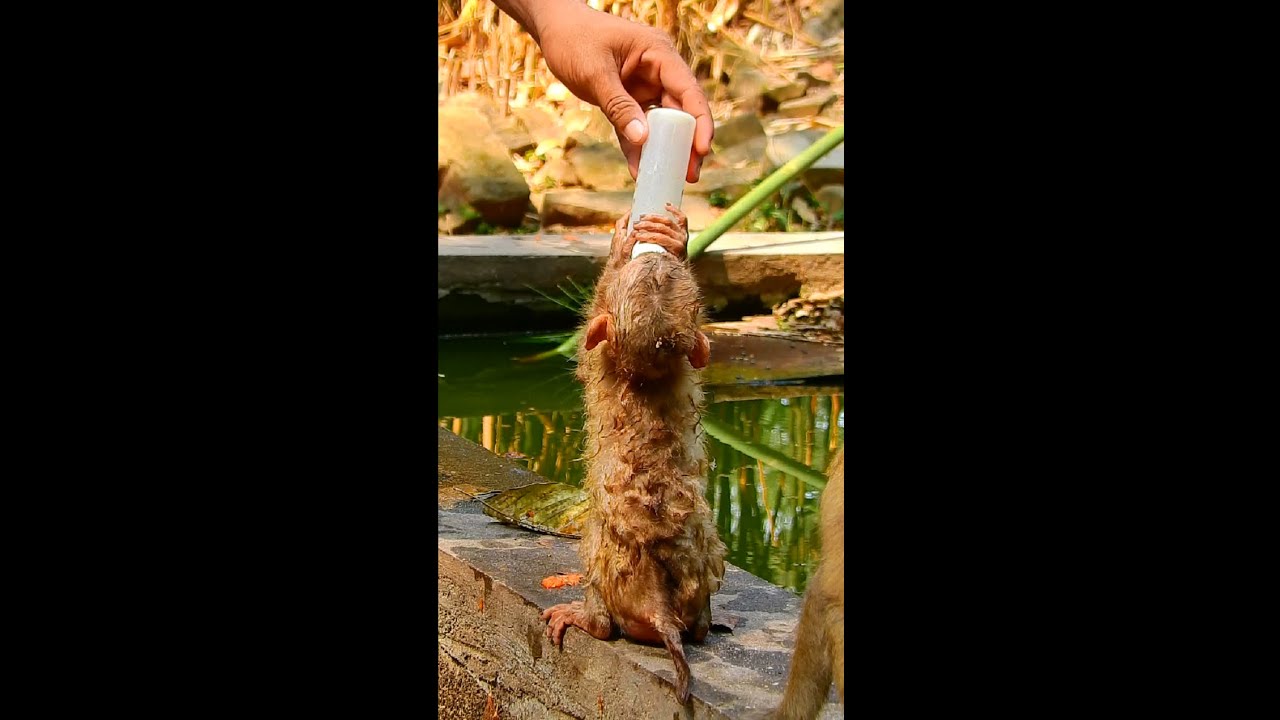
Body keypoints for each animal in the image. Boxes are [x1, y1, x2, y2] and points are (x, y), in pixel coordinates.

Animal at [540, 204, 727, 706]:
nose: (656, 260)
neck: (643, 379)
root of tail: (659, 606)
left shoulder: (597, 357)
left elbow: (590, 328)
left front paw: (626, 245)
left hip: (607, 573)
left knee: (602, 608)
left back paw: (583, 617)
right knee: (698, 625)